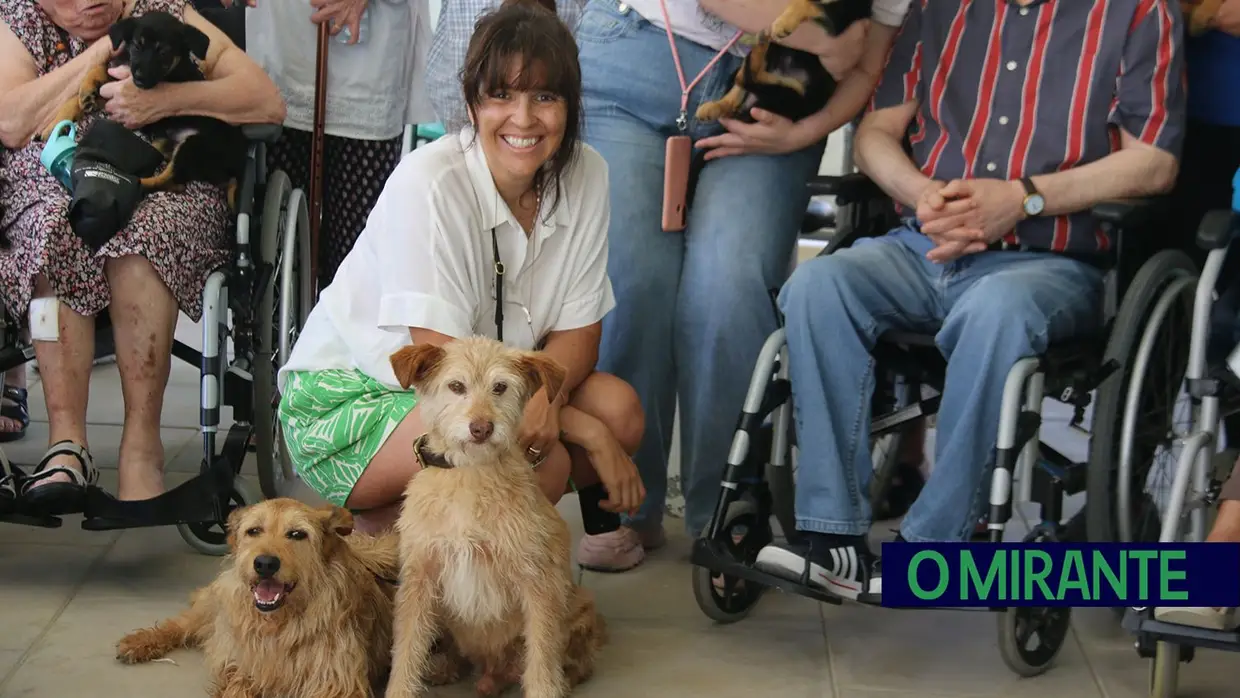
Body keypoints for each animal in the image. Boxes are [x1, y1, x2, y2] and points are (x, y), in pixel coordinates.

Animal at [38, 11, 248, 204]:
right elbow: (92, 79)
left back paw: (134, 181)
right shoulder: (112, 90)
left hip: (195, 146)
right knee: (176, 178)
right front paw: (60, 118)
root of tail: (238, 165)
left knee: (167, 178)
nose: (139, 77)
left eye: (163, 52)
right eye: (137, 46)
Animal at [114, 500, 468, 698]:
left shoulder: (335, 683)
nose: (265, 563)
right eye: (254, 531)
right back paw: (140, 642)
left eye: (297, 534)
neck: (279, 625)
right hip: (215, 604)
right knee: (181, 623)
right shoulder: (242, 672)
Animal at [381, 334, 605, 694]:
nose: (482, 428)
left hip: (580, 605)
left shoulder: (538, 581)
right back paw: (445, 668)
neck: (469, 472)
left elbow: (542, 655)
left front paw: (545, 688)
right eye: (456, 386)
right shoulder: (418, 580)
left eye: (500, 387)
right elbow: (406, 652)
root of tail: (490, 671)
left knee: (570, 662)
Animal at [699, 0, 872, 122]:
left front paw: (784, 22)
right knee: (737, 89)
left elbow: (808, 2)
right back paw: (714, 107)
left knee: (748, 78)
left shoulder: (840, 16)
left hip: (796, 98)